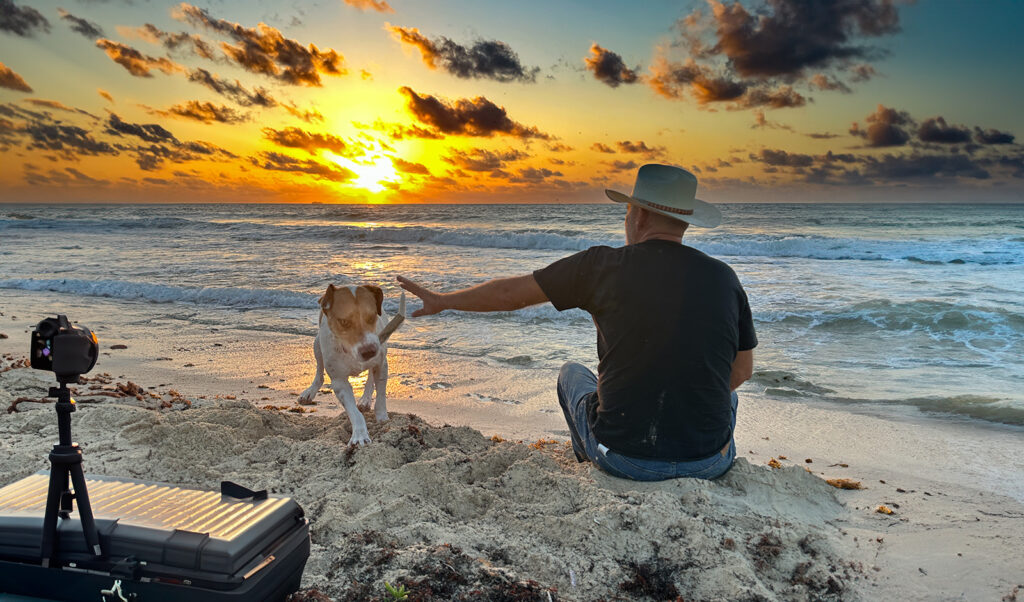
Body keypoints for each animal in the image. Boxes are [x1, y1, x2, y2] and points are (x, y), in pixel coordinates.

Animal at [296, 282, 403, 446]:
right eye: (344, 322)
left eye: (372, 317)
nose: (369, 351)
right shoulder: (339, 381)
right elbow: (353, 411)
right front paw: (360, 435)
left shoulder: (381, 364)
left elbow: (381, 396)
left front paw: (383, 419)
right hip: (316, 344)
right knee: (319, 372)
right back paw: (309, 392)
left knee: (370, 377)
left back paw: (365, 399)